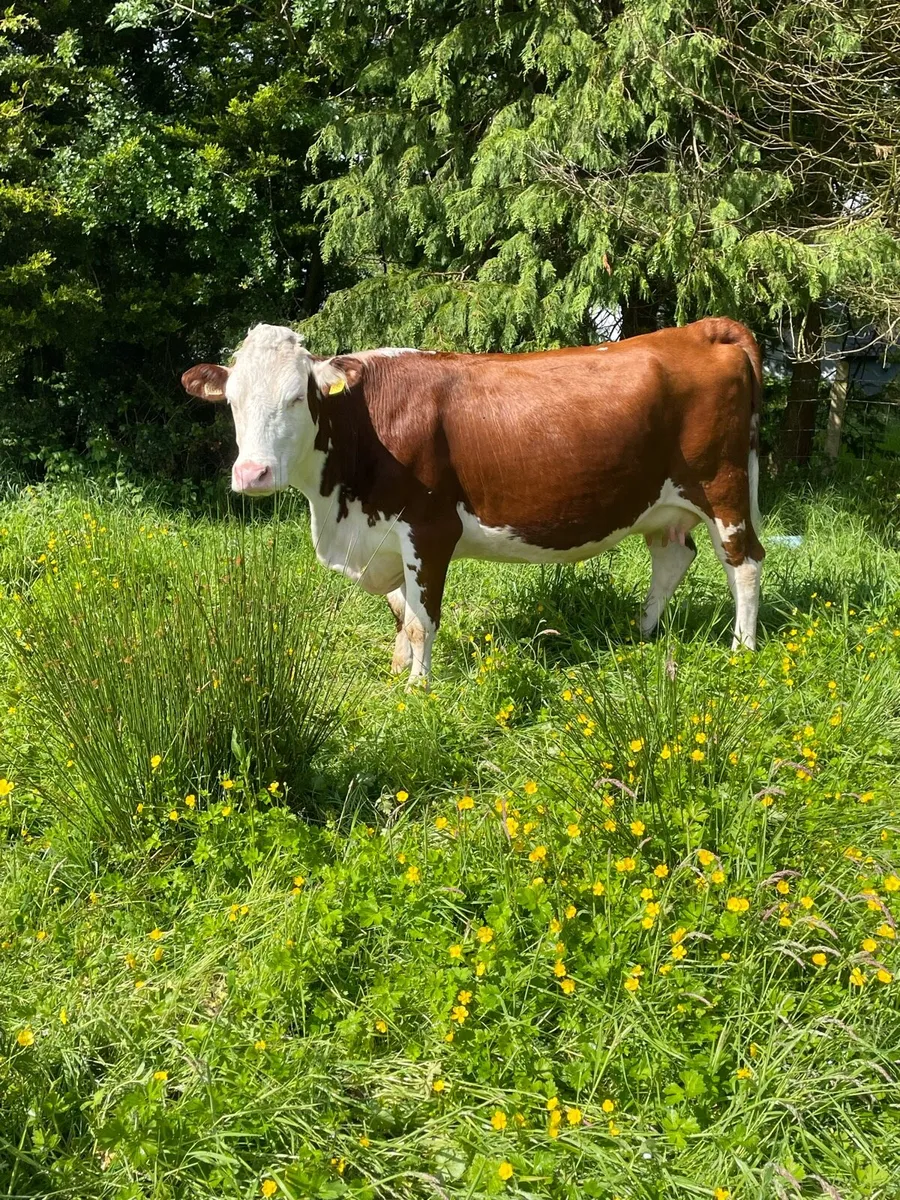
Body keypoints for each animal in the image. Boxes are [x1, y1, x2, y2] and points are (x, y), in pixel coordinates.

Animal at [182, 318, 764, 684]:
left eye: (296, 397)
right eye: (231, 400)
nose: (252, 473)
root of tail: (701, 329)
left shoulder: (430, 528)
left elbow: (421, 618)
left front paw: (418, 687)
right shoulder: (386, 537)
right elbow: (401, 611)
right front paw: (399, 667)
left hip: (722, 487)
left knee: (744, 563)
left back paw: (743, 648)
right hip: (665, 504)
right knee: (672, 557)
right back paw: (642, 632)